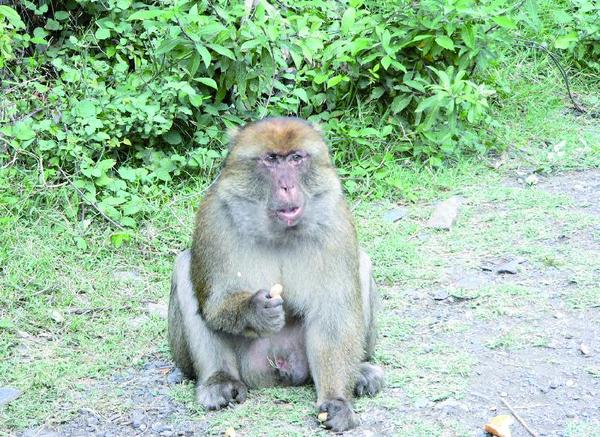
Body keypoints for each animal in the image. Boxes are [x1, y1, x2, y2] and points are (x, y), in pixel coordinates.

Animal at [168, 116, 384, 432]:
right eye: (271, 160)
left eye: (295, 159)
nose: (286, 186)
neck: (279, 231)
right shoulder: (215, 215)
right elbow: (214, 302)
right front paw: (255, 311)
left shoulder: (336, 219)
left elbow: (335, 313)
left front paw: (337, 401)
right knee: (184, 268)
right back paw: (219, 381)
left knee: (362, 264)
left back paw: (361, 371)